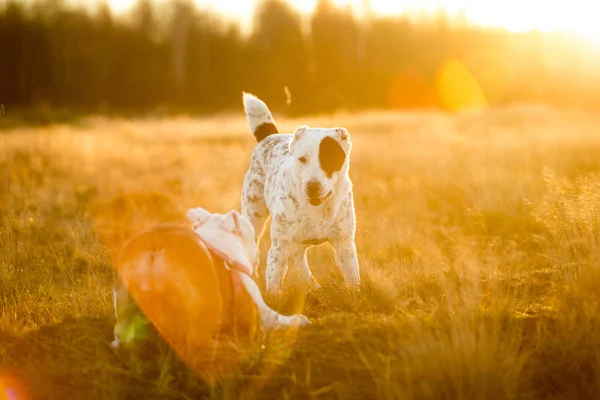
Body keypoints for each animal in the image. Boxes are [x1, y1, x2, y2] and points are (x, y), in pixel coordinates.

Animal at [240, 93, 360, 294]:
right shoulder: (279, 248)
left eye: (329, 159)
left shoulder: (345, 244)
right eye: (302, 159)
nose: (312, 186)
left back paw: (314, 285)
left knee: (298, 260)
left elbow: (353, 279)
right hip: (254, 217)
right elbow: (273, 283)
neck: (317, 208)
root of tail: (270, 135)